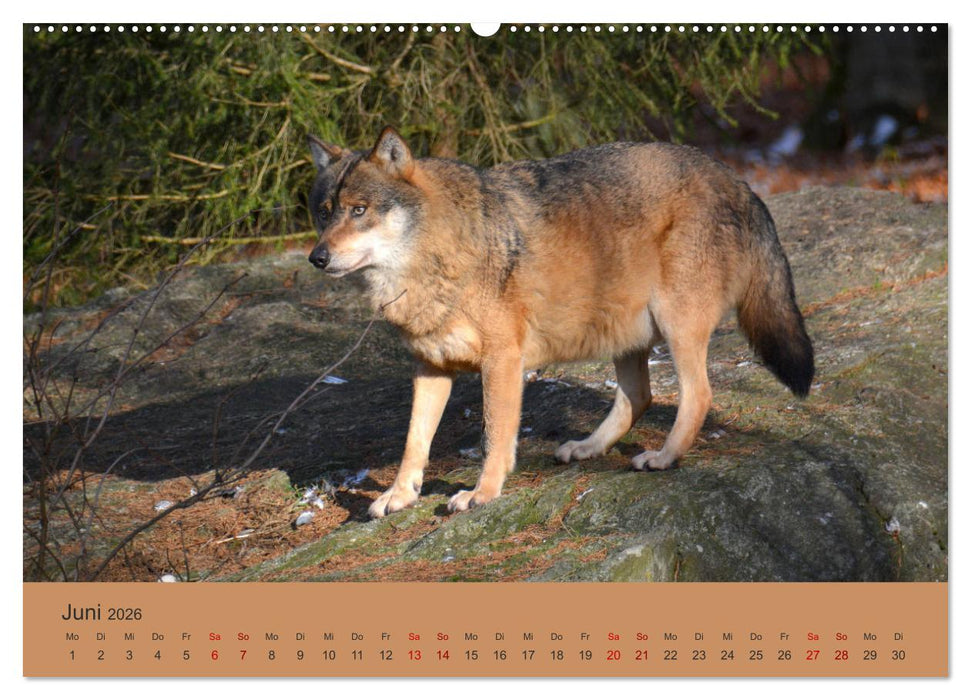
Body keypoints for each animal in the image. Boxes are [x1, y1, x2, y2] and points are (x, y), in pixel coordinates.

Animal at [306, 127, 814, 519]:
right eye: (325, 212)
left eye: (359, 210)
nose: (317, 257)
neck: (436, 258)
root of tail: (736, 178)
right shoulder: (430, 368)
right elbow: (414, 441)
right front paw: (399, 496)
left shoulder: (503, 362)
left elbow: (494, 437)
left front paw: (481, 494)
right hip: (625, 334)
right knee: (640, 398)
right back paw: (587, 448)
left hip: (676, 327)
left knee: (698, 395)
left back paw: (664, 458)